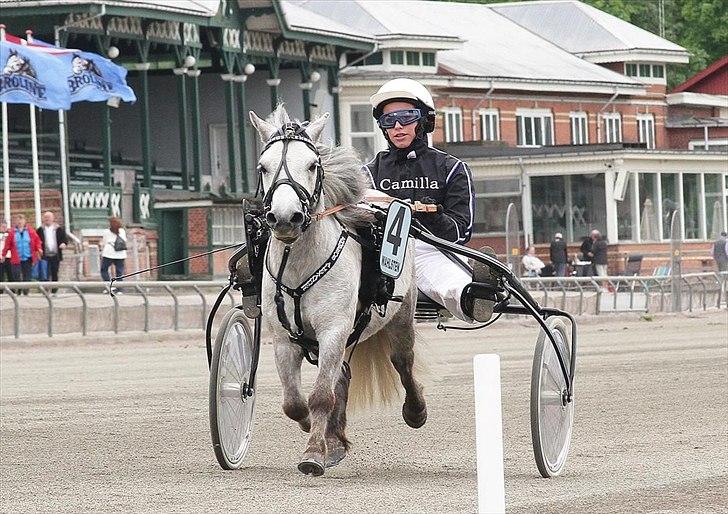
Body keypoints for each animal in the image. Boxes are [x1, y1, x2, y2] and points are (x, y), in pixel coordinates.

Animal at [249, 106, 426, 474]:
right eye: (263, 167)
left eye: (312, 165)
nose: (285, 217)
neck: (299, 263)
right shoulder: (284, 338)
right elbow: (294, 402)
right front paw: (314, 431)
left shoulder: (333, 330)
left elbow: (320, 396)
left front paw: (313, 453)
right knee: (341, 377)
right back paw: (334, 441)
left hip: (402, 314)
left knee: (403, 361)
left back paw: (415, 410)